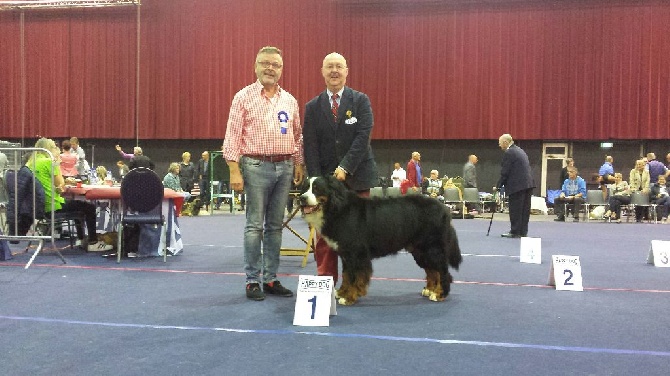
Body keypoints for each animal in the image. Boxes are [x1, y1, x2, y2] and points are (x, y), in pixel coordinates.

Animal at [302, 176, 464, 306]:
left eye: (316, 188)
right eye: (304, 187)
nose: (302, 198)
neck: (337, 209)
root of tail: (443, 208)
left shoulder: (356, 254)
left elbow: (354, 277)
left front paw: (348, 298)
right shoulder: (346, 254)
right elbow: (347, 276)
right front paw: (342, 292)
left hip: (432, 248)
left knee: (443, 272)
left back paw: (439, 294)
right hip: (420, 251)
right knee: (432, 271)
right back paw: (430, 290)